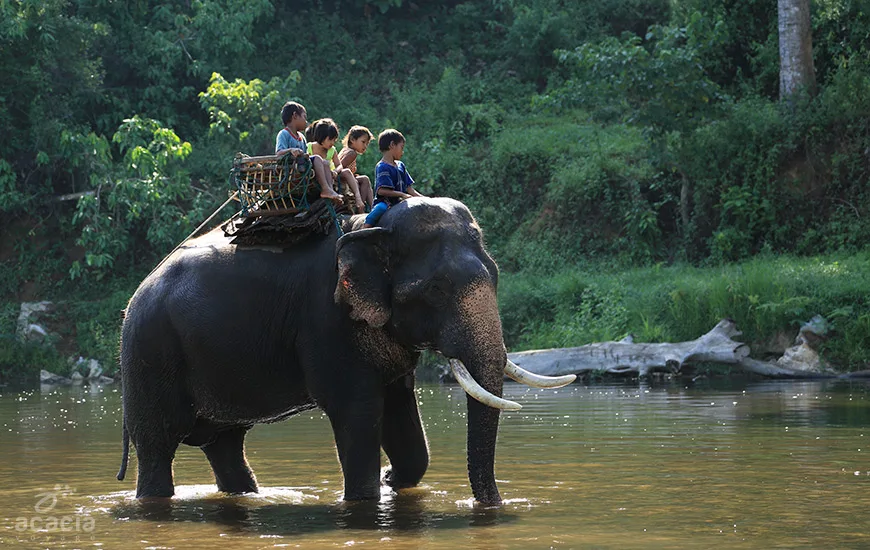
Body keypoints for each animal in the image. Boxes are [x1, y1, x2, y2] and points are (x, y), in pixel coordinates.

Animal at [116, 196, 574, 505]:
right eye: (436, 290)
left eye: (495, 276)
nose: (492, 504)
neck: (372, 227)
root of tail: (135, 295)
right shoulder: (326, 321)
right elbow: (356, 410)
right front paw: (371, 492)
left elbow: (402, 415)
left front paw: (392, 478)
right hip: (149, 354)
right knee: (157, 446)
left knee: (226, 446)